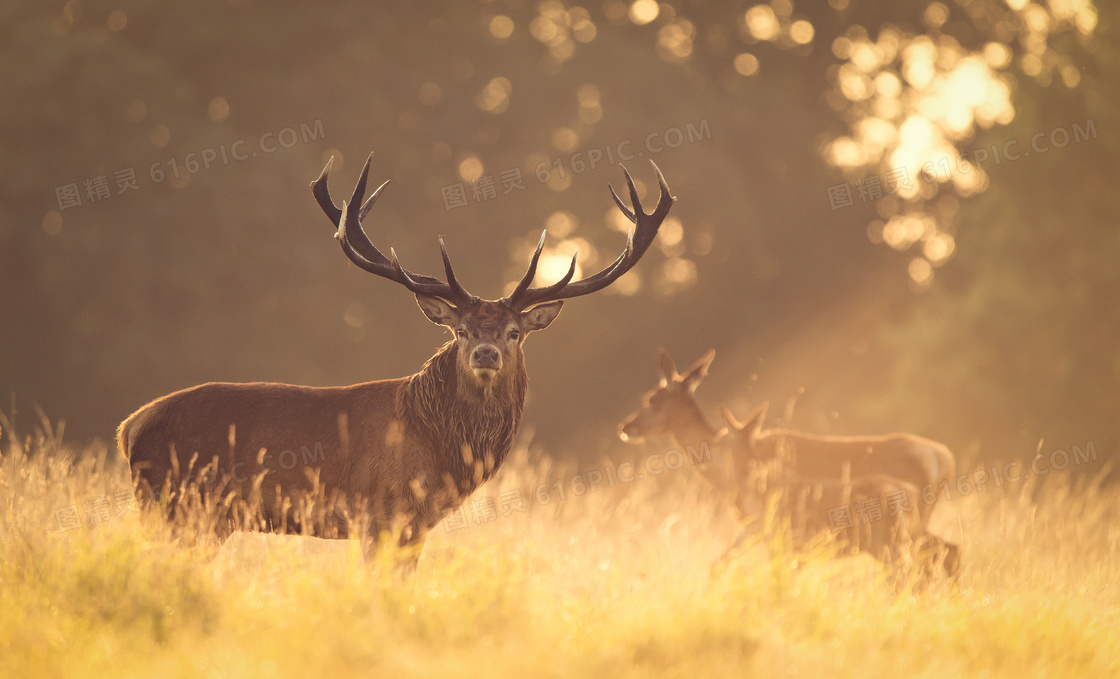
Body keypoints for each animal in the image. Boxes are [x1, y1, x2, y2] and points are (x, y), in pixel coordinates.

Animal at [120, 155, 672, 564]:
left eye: (515, 333)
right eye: (460, 330)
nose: (486, 352)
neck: (440, 449)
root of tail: (129, 427)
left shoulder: (415, 525)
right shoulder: (380, 513)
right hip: (175, 505)